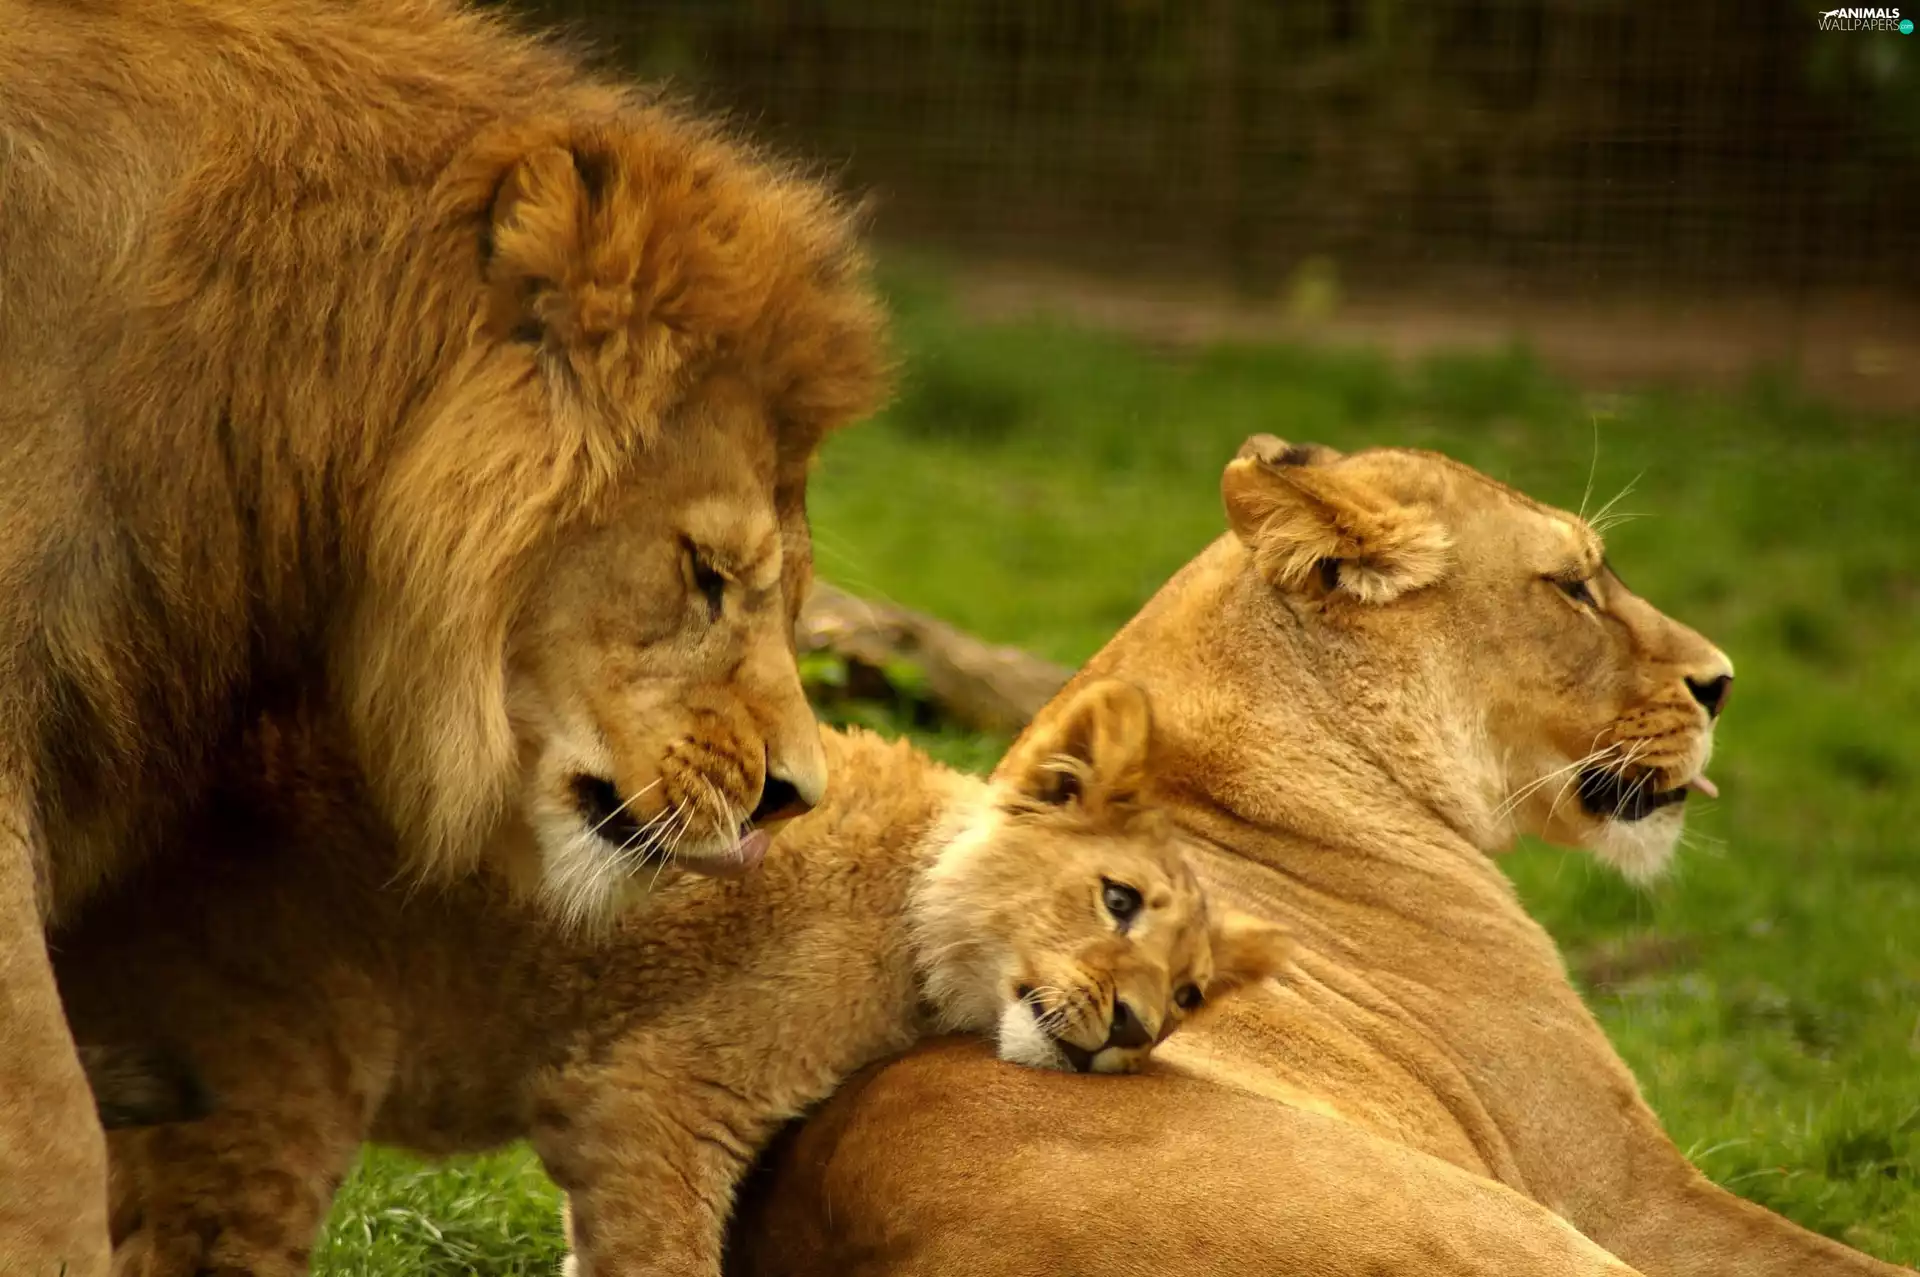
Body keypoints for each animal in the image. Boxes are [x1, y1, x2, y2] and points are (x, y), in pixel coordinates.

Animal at [54, 679, 1291, 1277]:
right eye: (1117, 900)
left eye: (1187, 998)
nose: (1129, 1024)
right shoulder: (649, 1096)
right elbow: (657, 1254)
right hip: (272, 1076)